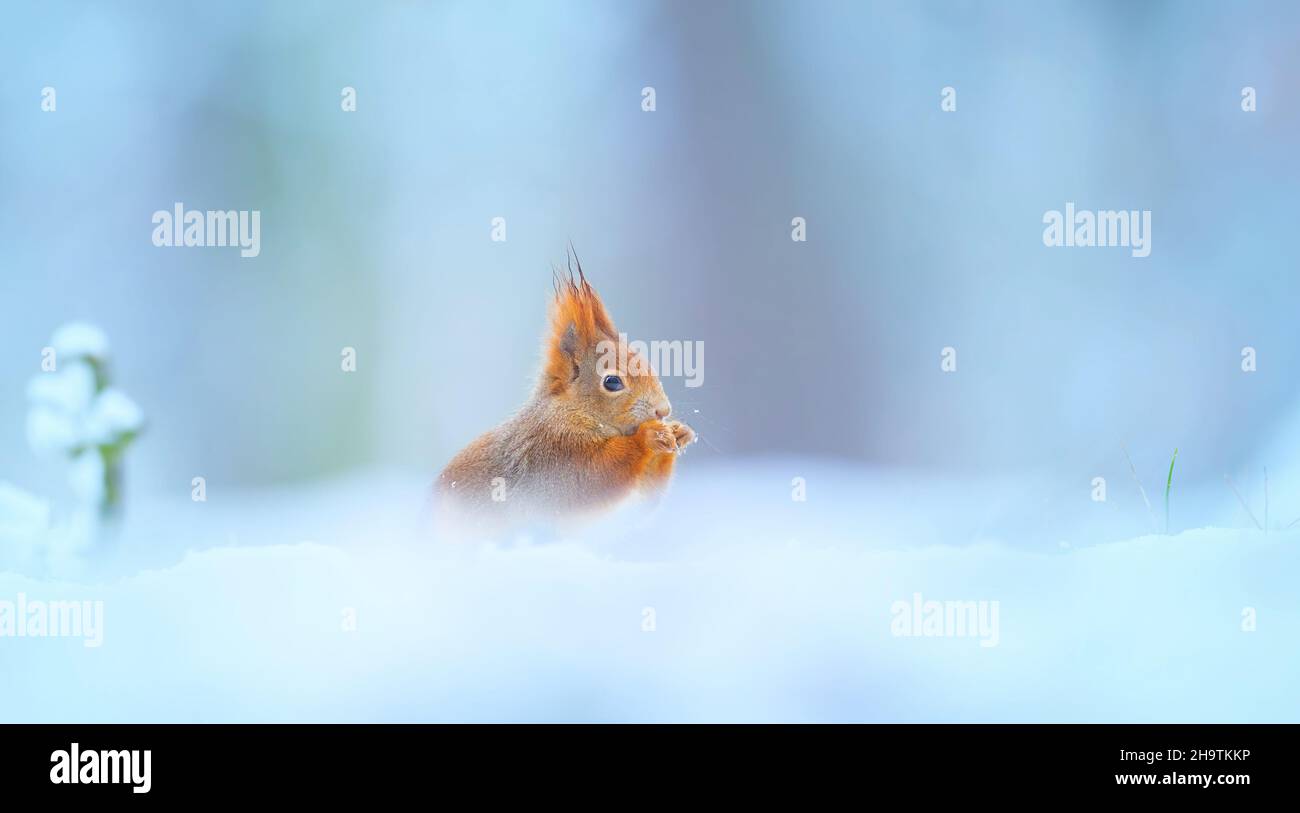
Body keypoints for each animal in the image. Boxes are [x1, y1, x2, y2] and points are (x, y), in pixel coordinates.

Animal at [437, 262, 696, 525]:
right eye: (612, 382)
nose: (663, 410)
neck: (572, 412)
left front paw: (680, 432)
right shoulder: (552, 455)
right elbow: (592, 478)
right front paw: (648, 436)